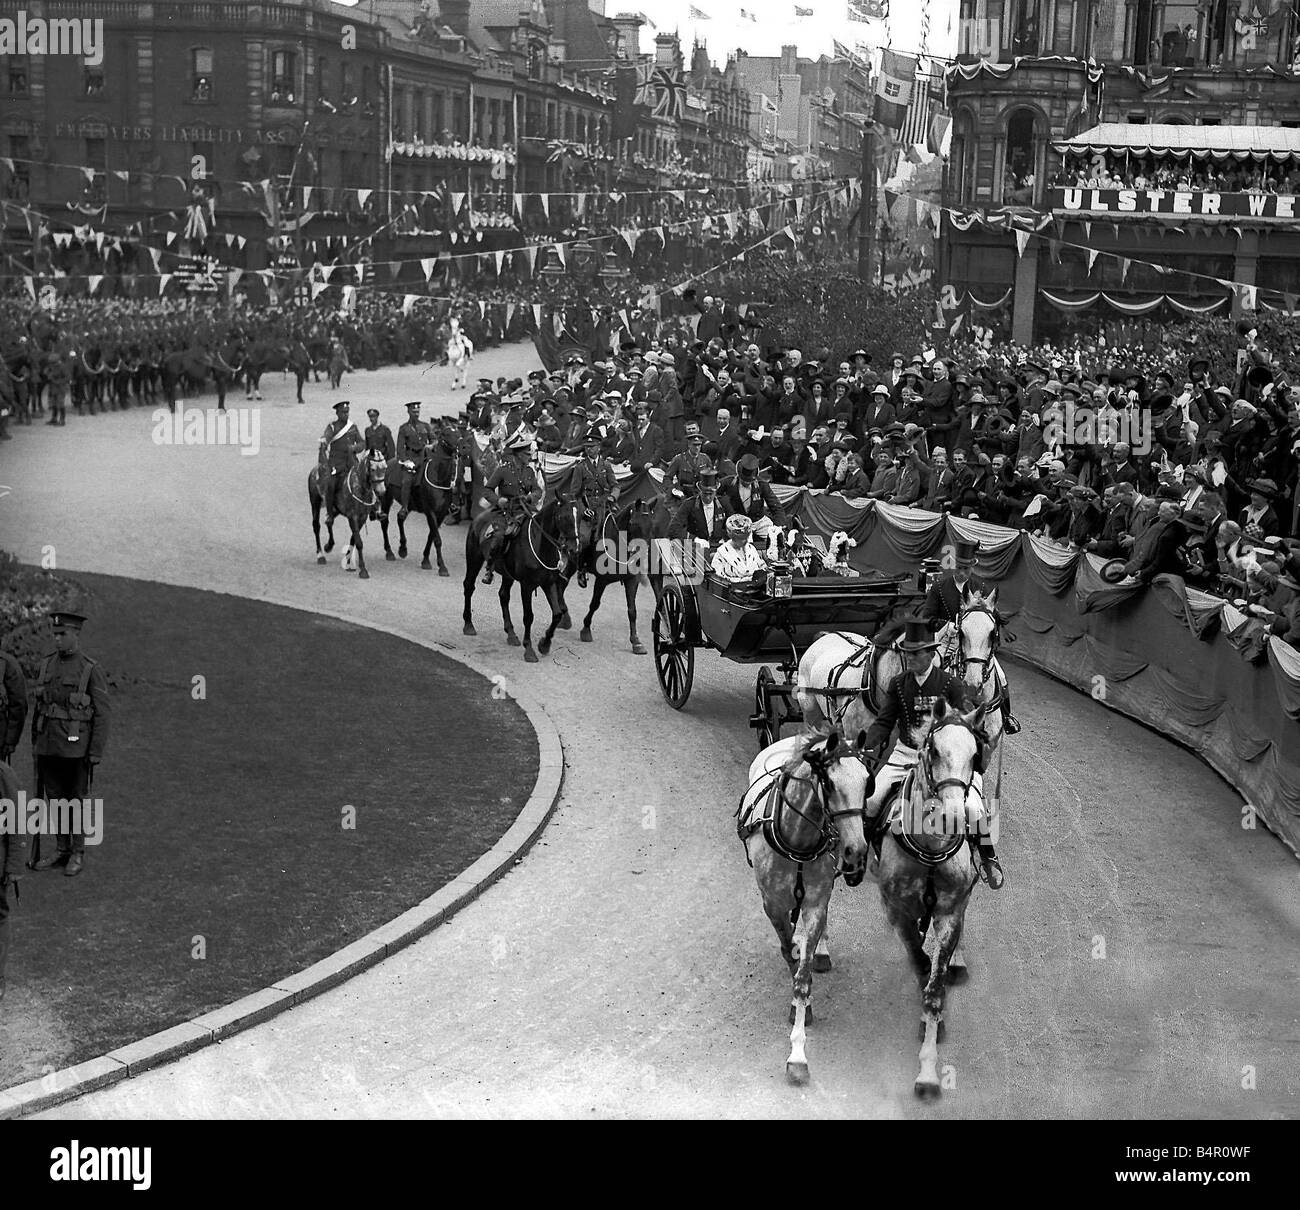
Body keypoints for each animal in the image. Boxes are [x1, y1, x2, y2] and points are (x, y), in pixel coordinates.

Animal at [377, 428, 462, 574]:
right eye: (447, 434)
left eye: (458, 433)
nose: (461, 446)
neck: (439, 479)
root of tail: (388, 463)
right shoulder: (430, 512)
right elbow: (437, 539)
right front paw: (442, 567)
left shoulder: (441, 514)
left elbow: (431, 536)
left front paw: (426, 560)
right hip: (386, 499)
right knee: (385, 522)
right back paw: (389, 552)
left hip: (410, 505)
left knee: (400, 518)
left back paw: (403, 549)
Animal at [467, 493, 585, 662]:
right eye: (563, 516)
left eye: (581, 515)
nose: (574, 548)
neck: (540, 545)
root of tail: (480, 517)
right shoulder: (527, 585)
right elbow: (528, 616)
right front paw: (529, 649)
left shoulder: (548, 583)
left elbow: (557, 614)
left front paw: (544, 644)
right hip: (474, 559)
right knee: (469, 587)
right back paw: (468, 625)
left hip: (507, 575)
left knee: (503, 595)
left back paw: (511, 634)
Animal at [743, 733, 873, 1081]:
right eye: (827, 781)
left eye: (867, 781)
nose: (857, 850)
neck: (797, 842)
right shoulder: (773, 905)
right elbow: (790, 952)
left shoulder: (815, 904)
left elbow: (802, 979)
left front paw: (798, 1055)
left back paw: (821, 952)